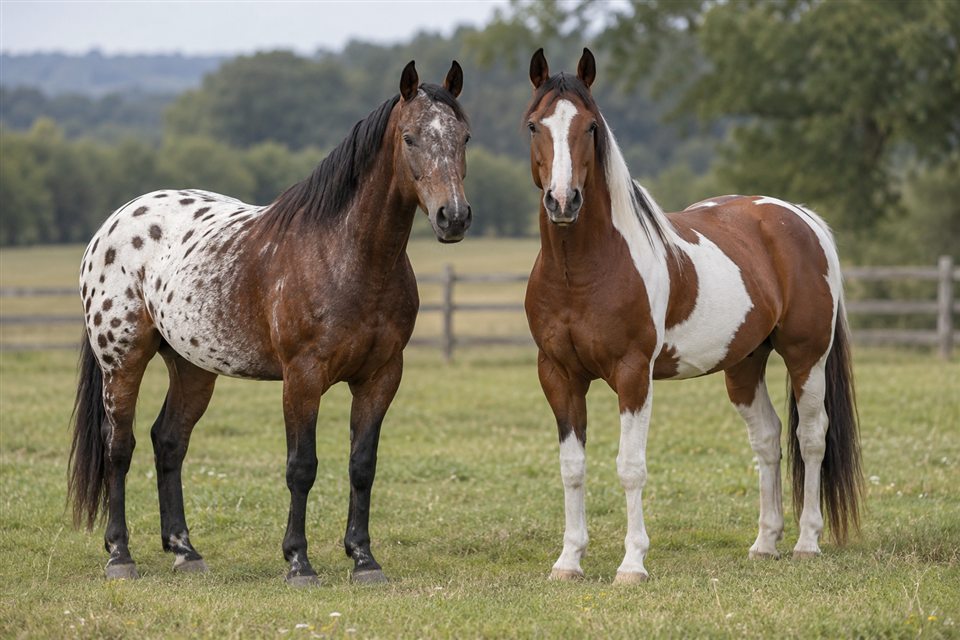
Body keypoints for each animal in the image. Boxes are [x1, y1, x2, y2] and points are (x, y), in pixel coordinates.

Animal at [68, 60, 472, 586]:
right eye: (410, 137)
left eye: (465, 136)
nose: (453, 216)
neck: (345, 255)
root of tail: (110, 226)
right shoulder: (302, 378)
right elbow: (302, 467)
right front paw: (298, 561)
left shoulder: (381, 377)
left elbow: (362, 465)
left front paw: (363, 559)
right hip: (122, 361)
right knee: (120, 446)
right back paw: (120, 555)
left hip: (192, 367)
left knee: (169, 442)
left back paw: (185, 551)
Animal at [523, 48, 862, 584]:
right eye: (534, 125)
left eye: (591, 127)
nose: (562, 200)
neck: (582, 271)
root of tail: (798, 217)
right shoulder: (558, 375)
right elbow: (572, 467)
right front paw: (568, 560)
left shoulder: (633, 375)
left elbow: (630, 467)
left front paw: (632, 564)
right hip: (744, 364)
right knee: (767, 439)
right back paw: (765, 543)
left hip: (806, 357)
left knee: (811, 438)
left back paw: (807, 542)